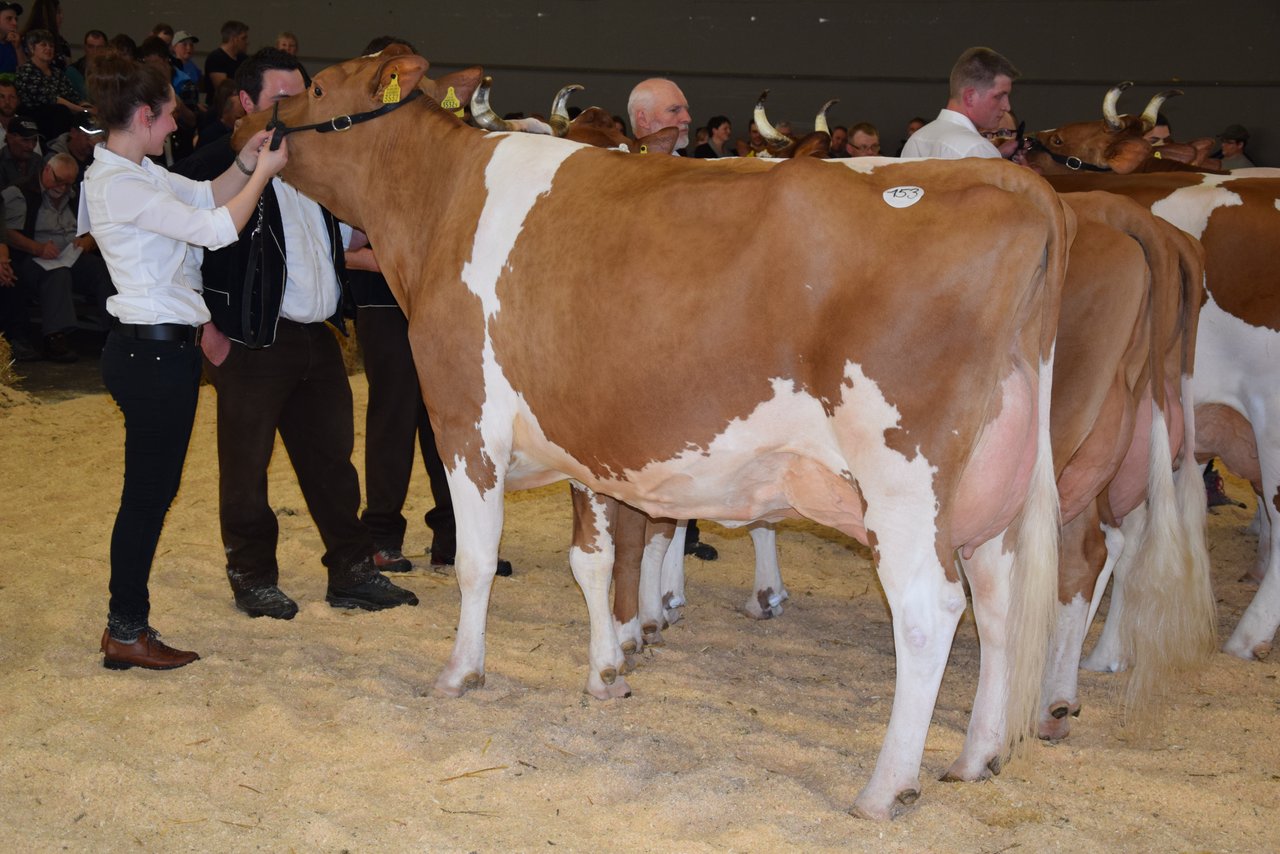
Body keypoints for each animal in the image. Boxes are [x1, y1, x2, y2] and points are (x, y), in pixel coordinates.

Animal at [238, 48, 1070, 819]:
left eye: (315, 87)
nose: (247, 129)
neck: (442, 202)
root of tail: (1010, 184)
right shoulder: (585, 440)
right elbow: (597, 561)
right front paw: (608, 670)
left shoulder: (464, 424)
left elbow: (477, 561)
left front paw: (460, 671)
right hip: (991, 492)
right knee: (1000, 604)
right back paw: (979, 756)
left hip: (904, 479)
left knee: (930, 612)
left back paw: (886, 787)